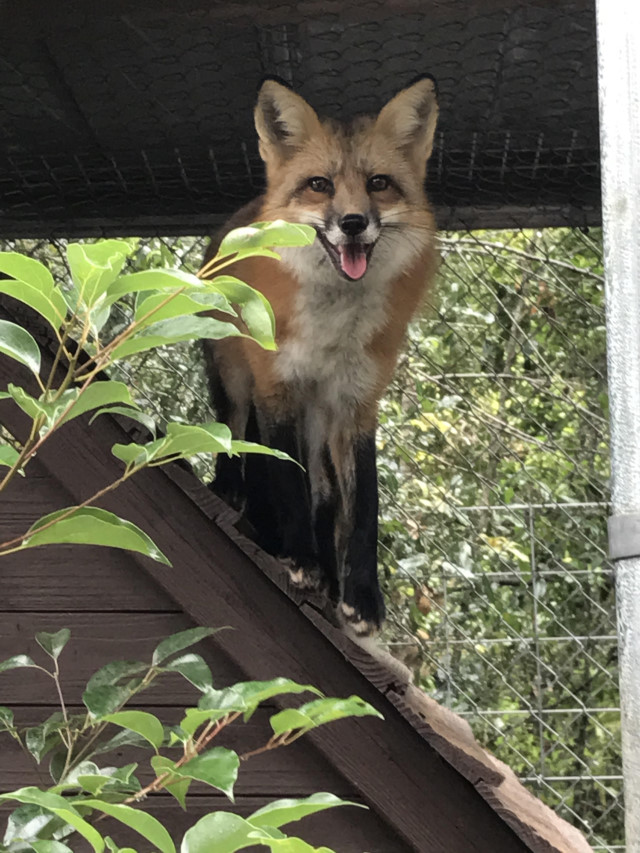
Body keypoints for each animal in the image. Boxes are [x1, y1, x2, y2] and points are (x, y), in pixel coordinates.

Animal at [202, 75, 439, 636]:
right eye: (319, 185)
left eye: (378, 183)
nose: (353, 222)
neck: (335, 331)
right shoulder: (277, 385)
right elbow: (287, 478)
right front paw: (302, 561)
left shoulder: (355, 404)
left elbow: (364, 504)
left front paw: (362, 597)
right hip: (236, 378)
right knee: (234, 431)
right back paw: (235, 497)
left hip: (319, 422)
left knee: (326, 493)